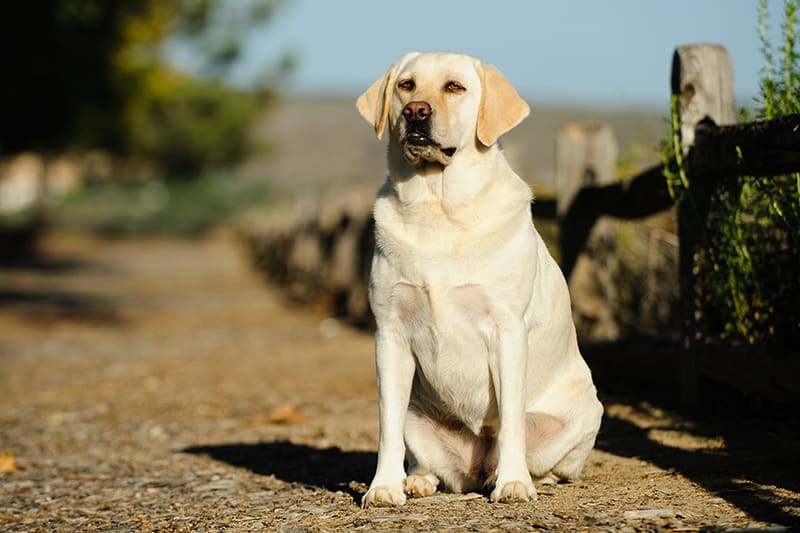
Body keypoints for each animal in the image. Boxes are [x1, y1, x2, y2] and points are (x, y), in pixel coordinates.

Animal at [356, 51, 600, 508]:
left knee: (548, 462)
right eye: (406, 86)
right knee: (428, 460)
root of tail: (477, 465)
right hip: (418, 414)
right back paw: (419, 480)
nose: (416, 112)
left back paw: (519, 478)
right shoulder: (389, 333)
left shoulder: (506, 330)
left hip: (583, 415)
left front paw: (514, 485)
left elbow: (511, 425)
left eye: (455, 87)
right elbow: (386, 427)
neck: (437, 207)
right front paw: (384, 487)